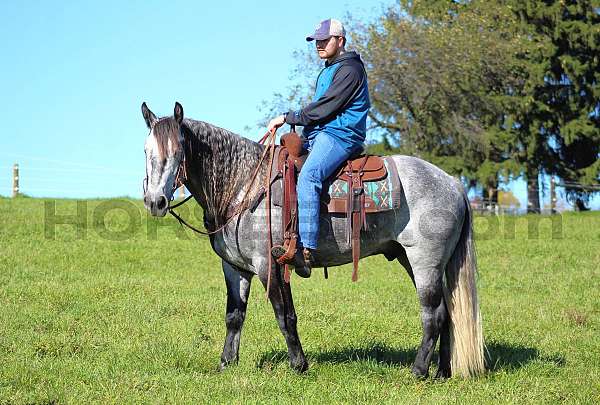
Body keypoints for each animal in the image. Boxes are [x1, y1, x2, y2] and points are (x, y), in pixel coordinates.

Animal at [142, 102, 488, 378]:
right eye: (146, 151)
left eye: (178, 152)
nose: (155, 201)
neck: (243, 186)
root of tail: (453, 183)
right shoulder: (235, 268)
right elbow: (234, 316)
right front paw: (226, 363)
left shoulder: (269, 265)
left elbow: (285, 316)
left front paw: (299, 365)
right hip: (418, 261)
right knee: (448, 312)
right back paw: (442, 371)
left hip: (424, 262)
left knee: (434, 314)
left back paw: (418, 371)